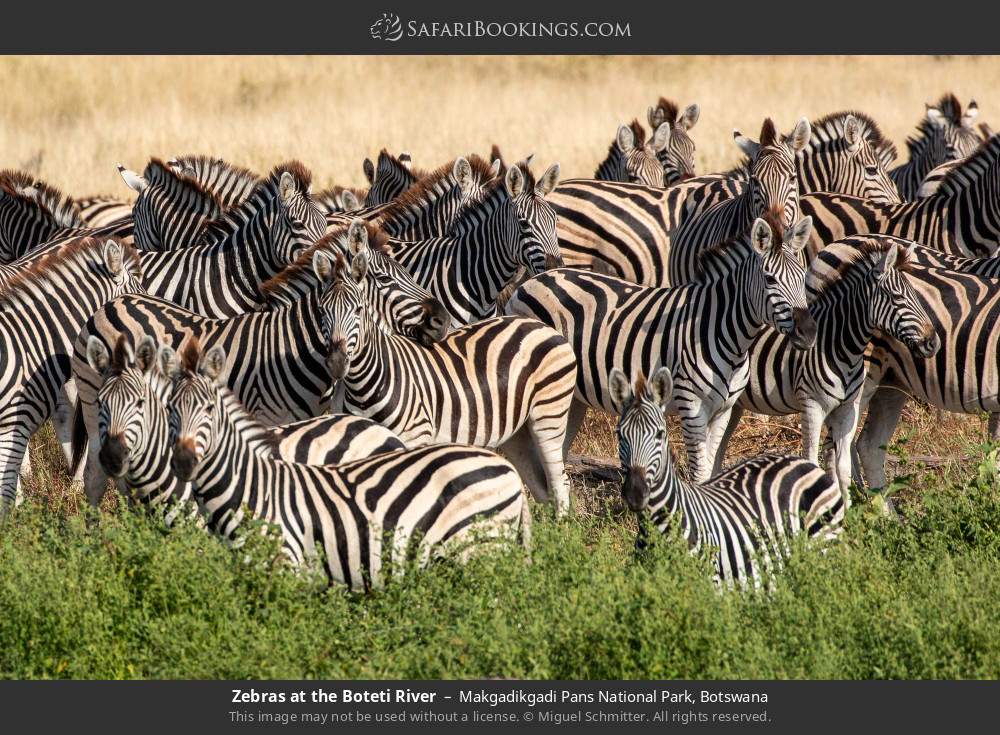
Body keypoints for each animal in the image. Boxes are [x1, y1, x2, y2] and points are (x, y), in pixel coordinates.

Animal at [161, 339, 530, 590]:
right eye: (169, 408)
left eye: (209, 409)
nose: (183, 462)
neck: (252, 488)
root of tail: (508, 469)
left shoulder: (286, 567)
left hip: (481, 554)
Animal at [316, 248, 578, 515]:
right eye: (322, 312)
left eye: (358, 310)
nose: (336, 362)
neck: (366, 383)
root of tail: (543, 326)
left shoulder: (415, 437)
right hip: (517, 430)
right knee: (541, 484)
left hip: (549, 414)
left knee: (559, 481)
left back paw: (561, 524)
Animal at [505, 212, 816, 483]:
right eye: (770, 279)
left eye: (803, 276)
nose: (809, 331)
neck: (724, 331)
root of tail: (528, 284)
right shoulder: (691, 406)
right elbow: (700, 473)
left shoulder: (723, 411)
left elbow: (711, 467)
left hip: (572, 395)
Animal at [609, 366, 843, 589]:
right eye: (620, 434)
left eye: (660, 434)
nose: (636, 493)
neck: (657, 525)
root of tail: (798, 460)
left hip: (825, 550)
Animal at [713, 238, 939, 504]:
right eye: (897, 297)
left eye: (914, 294)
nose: (933, 342)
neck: (838, 344)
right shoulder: (812, 406)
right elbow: (811, 461)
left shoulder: (847, 409)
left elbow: (842, 468)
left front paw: (848, 510)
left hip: (733, 405)